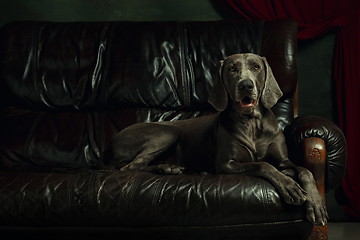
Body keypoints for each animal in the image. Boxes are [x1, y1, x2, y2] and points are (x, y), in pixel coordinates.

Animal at [101, 53, 330, 227]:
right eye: (232, 69)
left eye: (256, 67)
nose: (246, 85)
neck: (251, 123)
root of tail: (110, 146)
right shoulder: (226, 164)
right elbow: (263, 165)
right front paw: (289, 186)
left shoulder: (284, 161)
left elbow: (305, 171)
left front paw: (316, 204)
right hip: (168, 132)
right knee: (130, 166)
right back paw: (168, 168)